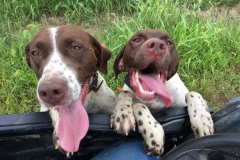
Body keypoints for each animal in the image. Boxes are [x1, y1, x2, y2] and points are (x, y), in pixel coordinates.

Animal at [110, 28, 214, 156]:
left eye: (168, 43)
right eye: (136, 40)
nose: (157, 46)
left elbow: (193, 93)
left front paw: (202, 120)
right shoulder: (131, 94)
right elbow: (134, 101)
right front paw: (152, 132)